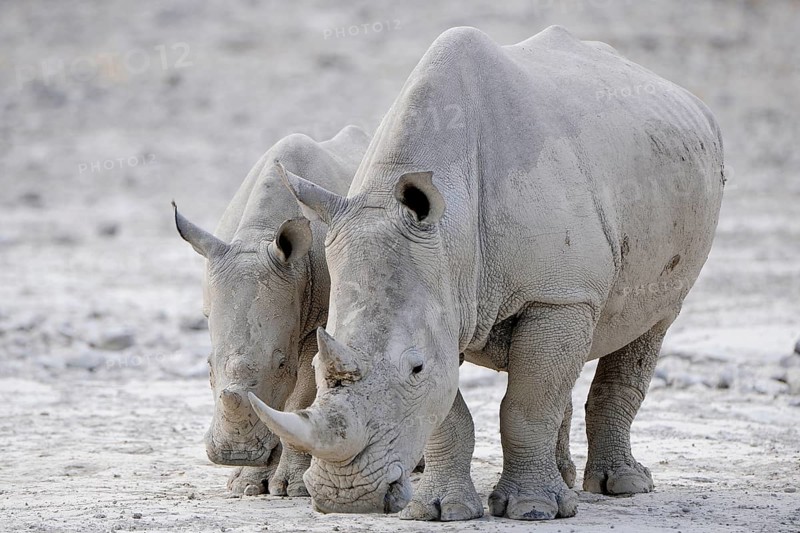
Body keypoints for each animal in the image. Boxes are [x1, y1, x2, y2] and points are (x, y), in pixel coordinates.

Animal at [173, 125, 369, 496]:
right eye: (207, 366)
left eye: (281, 365)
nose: (235, 454)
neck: (258, 233)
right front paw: (247, 485)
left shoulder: (318, 322)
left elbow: (301, 397)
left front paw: (290, 488)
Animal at [249, 26, 724, 520]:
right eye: (316, 366)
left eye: (415, 367)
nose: (345, 498)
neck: (449, 233)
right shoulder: (447, 294)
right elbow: (451, 413)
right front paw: (442, 510)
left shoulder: (558, 294)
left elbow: (525, 406)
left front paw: (531, 509)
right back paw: (567, 483)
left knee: (652, 323)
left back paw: (621, 486)